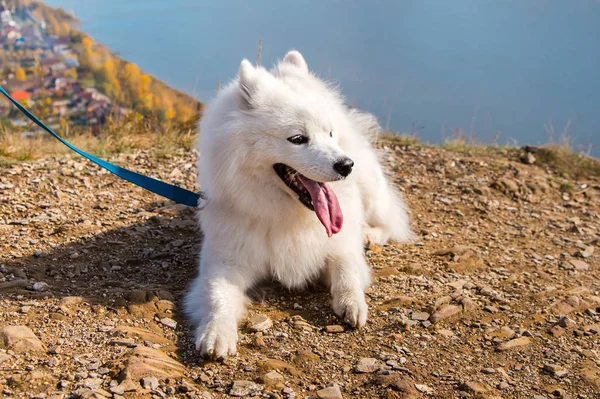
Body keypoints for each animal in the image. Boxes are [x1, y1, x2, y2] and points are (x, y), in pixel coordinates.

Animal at [185, 49, 414, 360]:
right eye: (297, 139)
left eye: (329, 133)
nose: (346, 165)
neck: (289, 216)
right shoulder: (224, 260)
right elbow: (217, 295)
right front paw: (216, 333)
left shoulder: (339, 244)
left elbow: (348, 271)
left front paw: (353, 304)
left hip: (371, 191)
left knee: (390, 221)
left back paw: (370, 234)